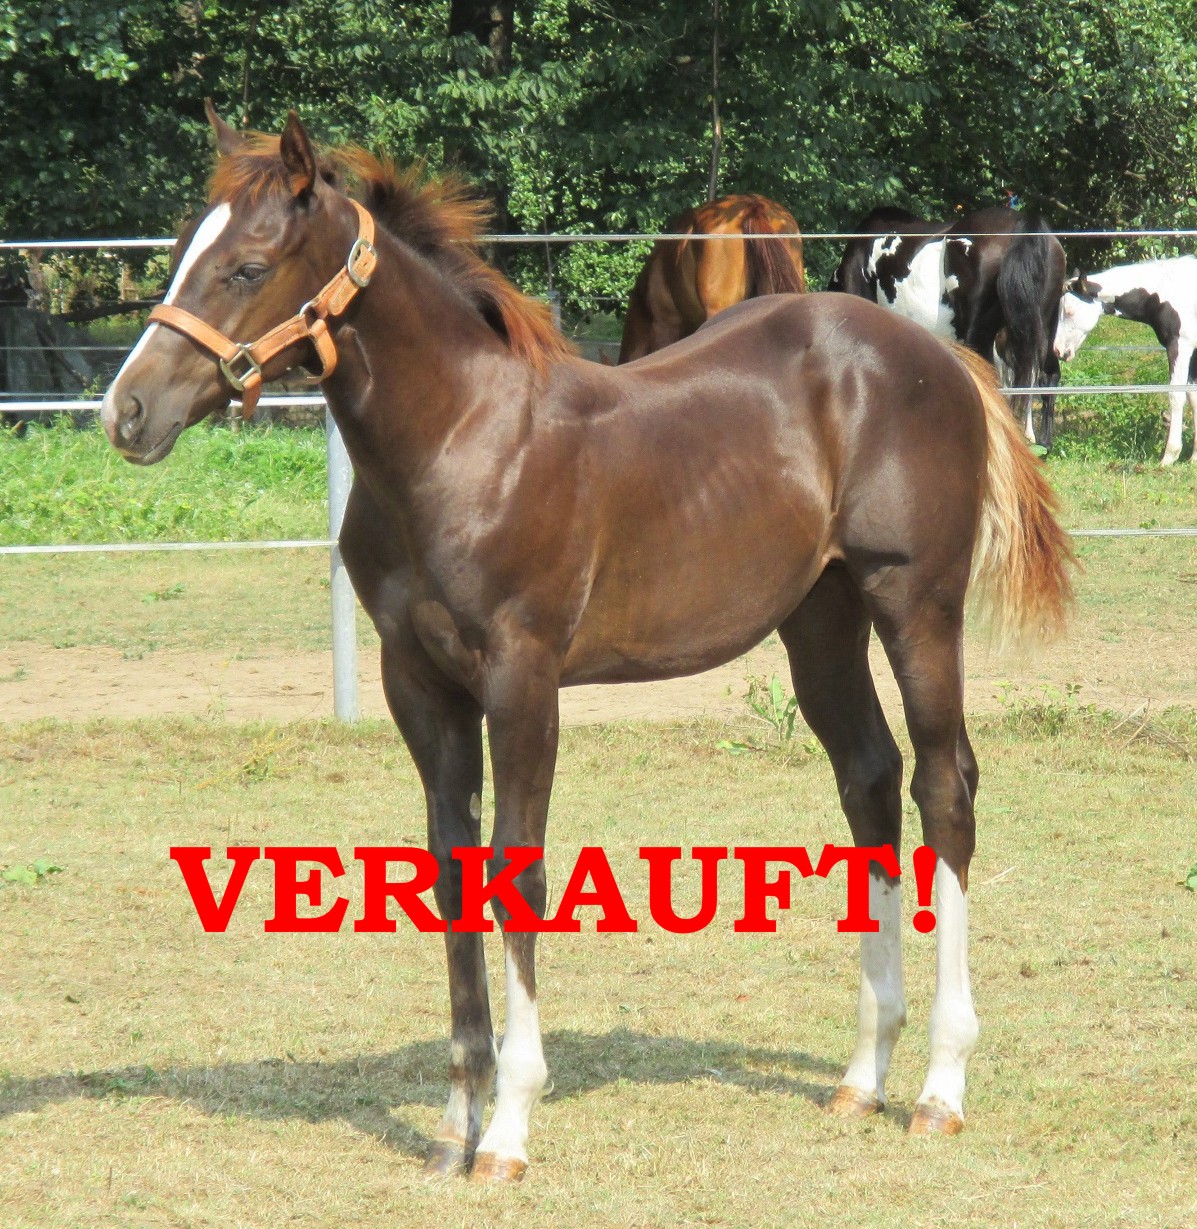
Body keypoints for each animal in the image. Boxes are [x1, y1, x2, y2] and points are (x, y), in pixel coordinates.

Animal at [1055, 259, 1197, 464]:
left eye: (1069, 311)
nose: (1057, 350)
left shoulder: (1180, 347)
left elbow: (1176, 396)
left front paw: (1169, 456)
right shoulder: (1193, 351)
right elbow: (1193, 398)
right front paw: (1194, 456)